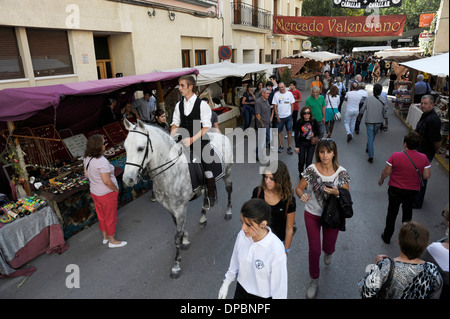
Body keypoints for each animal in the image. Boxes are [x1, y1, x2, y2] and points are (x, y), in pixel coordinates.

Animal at [123, 119, 236, 278]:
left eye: (140, 148)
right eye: (125, 148)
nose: (128, 179)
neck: (170, 170)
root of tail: (220, 135)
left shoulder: (180, 207)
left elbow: (176, 236)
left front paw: (176, 264)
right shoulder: (170, 208)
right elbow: (178, 227)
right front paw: (186, 239)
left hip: (228, 173)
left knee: (229, 190)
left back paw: (228, 212)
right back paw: (203, 216)